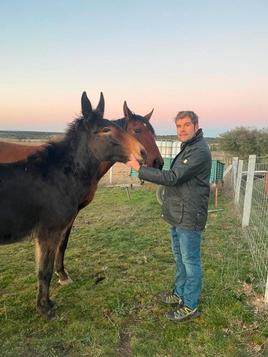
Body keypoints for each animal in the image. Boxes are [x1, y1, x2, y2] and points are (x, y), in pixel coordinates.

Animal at [0, 91, 147, 318]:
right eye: (105, 130)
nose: (142, 153)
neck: (59, 176)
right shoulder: (48, 232)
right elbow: (44, 270)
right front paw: (45, 307)